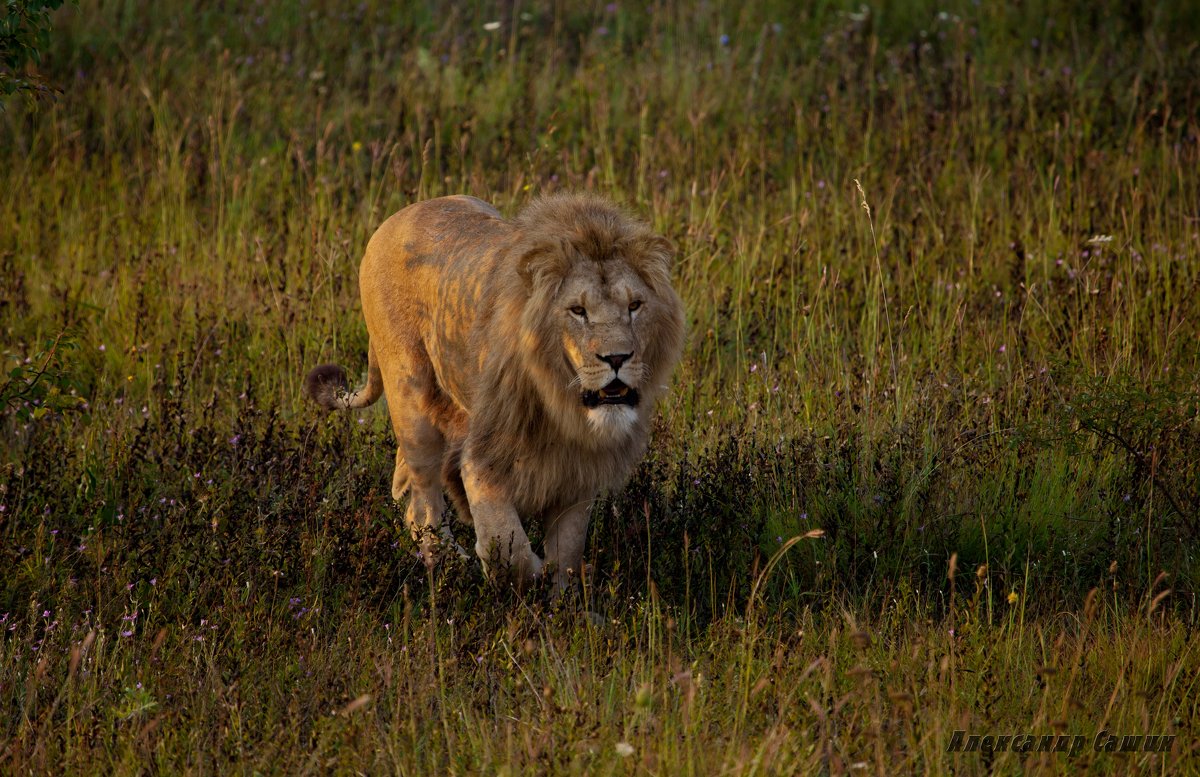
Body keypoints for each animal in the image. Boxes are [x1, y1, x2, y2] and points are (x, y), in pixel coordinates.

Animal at [304, 194, 686, 589]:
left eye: (635, 306)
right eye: (578, 310)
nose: (617, 358)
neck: (561, 406)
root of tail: (395, 218)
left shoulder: (578, 473)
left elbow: (566, 553)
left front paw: (562, 598)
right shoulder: (483, 458)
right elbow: (510, 548)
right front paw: (519, 575)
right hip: (410, 401)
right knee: (424, 503)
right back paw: (449, 567)